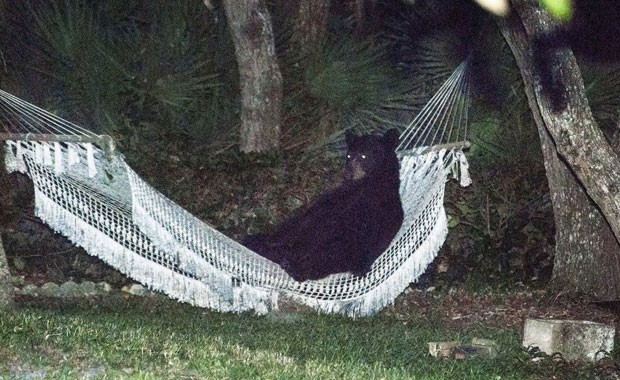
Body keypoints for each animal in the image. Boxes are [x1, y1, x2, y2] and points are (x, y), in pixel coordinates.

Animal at [245, 129, 404, 280]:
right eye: (348, 156)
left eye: (364, 156)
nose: (348, 174)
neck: (367, 184)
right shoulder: (334, 200)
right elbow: (307, 220)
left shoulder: (373, 209)